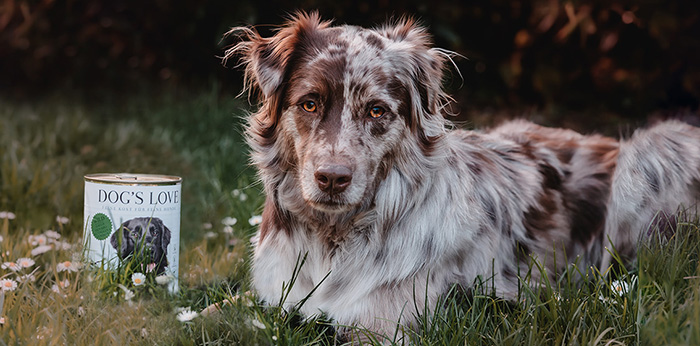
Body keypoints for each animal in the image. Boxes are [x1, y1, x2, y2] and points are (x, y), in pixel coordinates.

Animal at [226, 12, 700, 342]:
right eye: (309, 103)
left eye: (377, 111)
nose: (331, 179)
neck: (332, 239)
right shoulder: (274, 297)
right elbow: (225, 310)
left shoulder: (382, 324)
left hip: (650, 149)